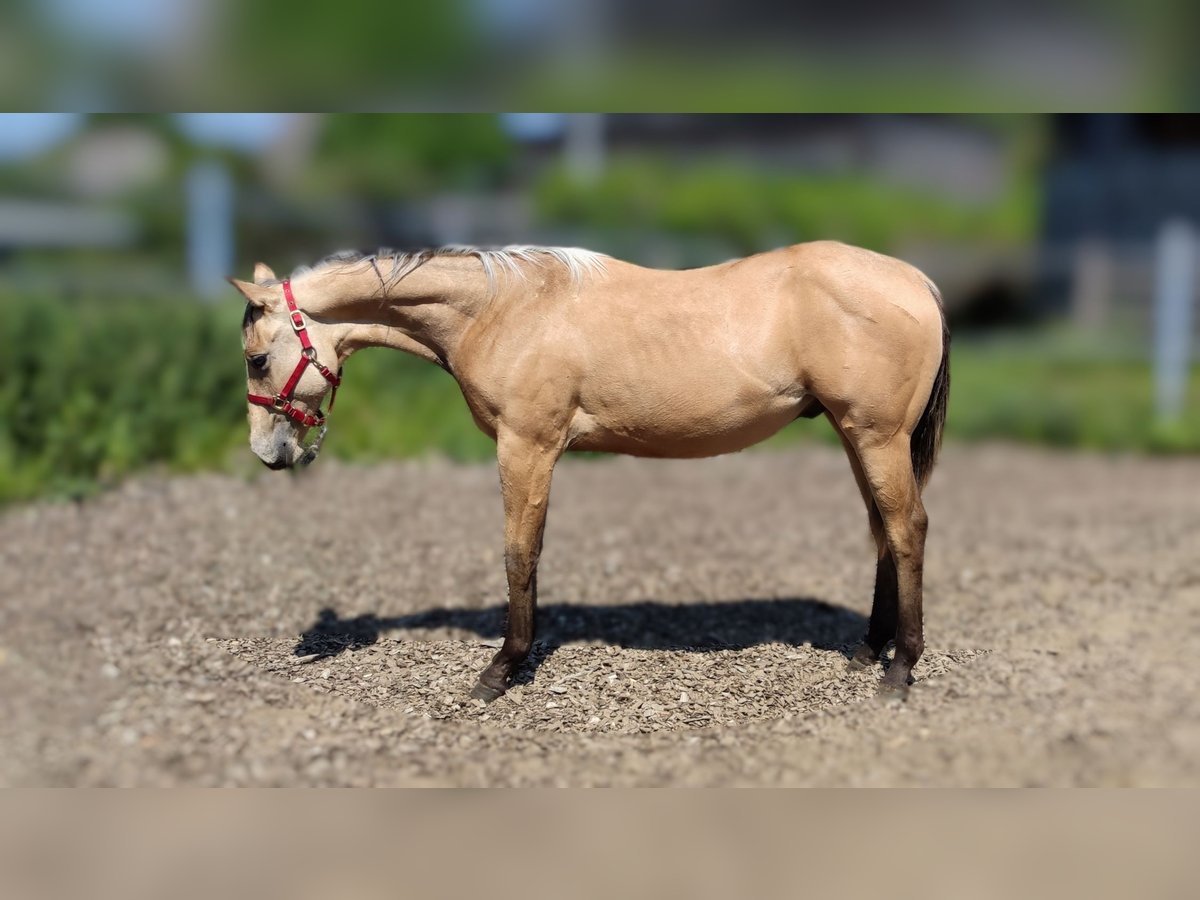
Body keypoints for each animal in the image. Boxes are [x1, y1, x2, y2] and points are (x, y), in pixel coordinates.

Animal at [231, 244, 945, 705]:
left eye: (258, 359)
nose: (267, 452)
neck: (503, 309)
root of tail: (918, 280)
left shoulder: (527, 447)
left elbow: (520, 552)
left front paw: (501, 670)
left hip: (876, 436)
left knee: (906, 529)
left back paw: (899, 671)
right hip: (856, 436)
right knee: (883, 531)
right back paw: (869, 650)